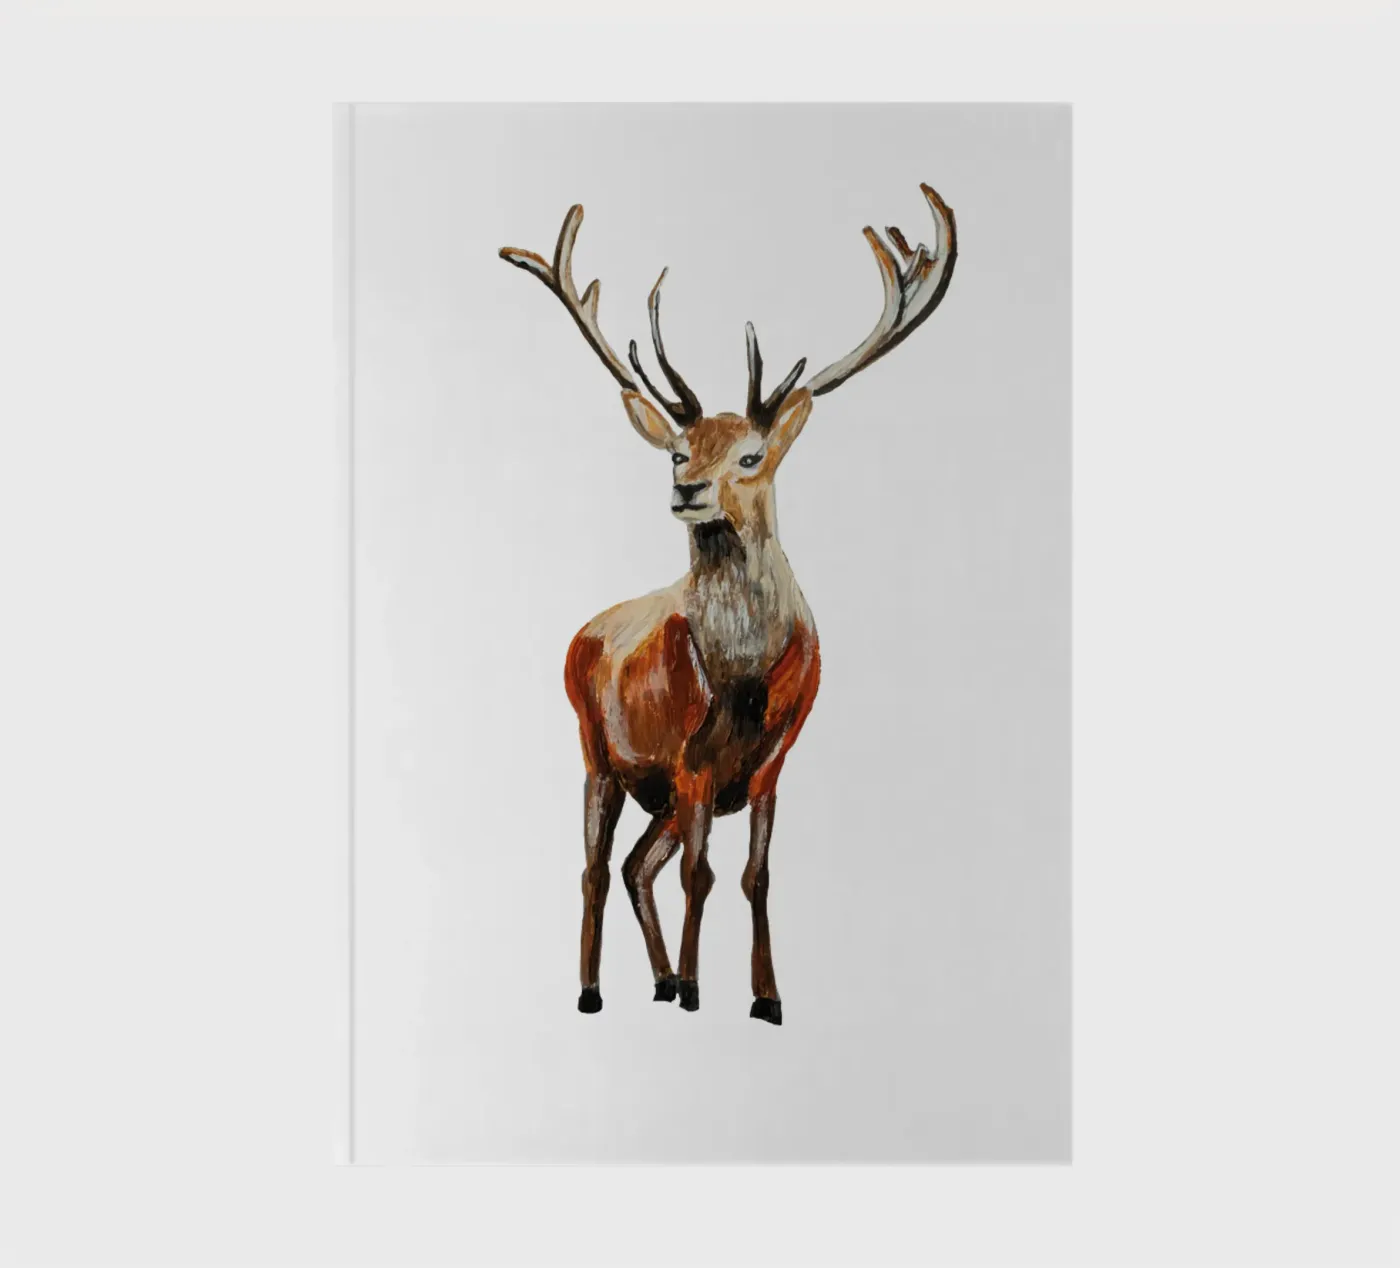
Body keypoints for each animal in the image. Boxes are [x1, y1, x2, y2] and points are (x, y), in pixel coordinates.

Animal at [500, 182, 957, 1024]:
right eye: (680, 451)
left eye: (751, 455)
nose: (687, 489)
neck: (742, 679)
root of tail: (583, 631)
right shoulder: (690, 760)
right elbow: (700, 875)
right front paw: (694, 989)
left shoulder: (774, 761)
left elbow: (754, 876)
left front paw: (764, 997)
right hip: (597, 749)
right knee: (596, 868)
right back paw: (594, 990)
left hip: (657, 793)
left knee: (636, 865)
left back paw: (652, 979)